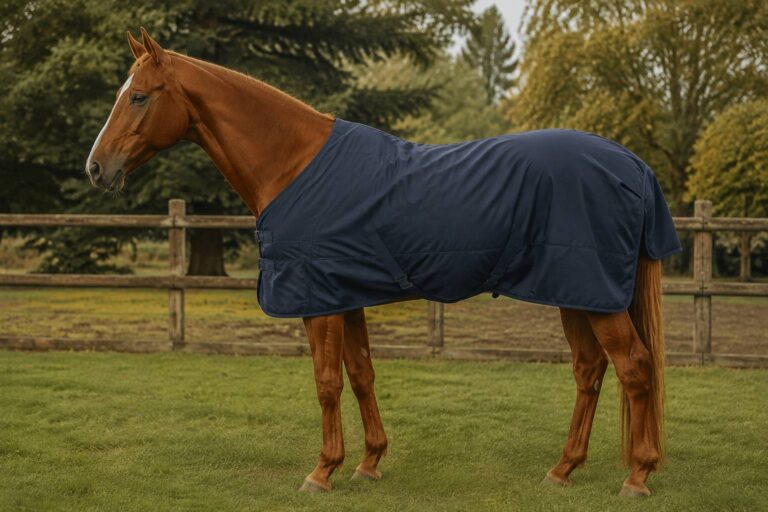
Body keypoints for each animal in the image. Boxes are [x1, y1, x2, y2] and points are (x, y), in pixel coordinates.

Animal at [85, 28, 680, 497]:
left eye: (138, 96)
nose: (96, 168)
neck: (293, 163)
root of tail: (631, 163)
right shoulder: (346, 296)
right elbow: (362, 374)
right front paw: (369, 463)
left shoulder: (318, 301)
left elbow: (327, 382)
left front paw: (322, 471)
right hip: (574, 292)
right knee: (590, 370)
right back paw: (563, 469)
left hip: (592, 295)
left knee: (634, 367)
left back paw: (638, 476)